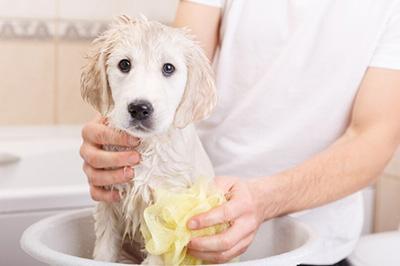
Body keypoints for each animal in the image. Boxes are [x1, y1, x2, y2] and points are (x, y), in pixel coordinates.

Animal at [80, 16, 216, 264]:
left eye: (168, 68)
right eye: (124, 64)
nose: (139, 108)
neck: (146, 146)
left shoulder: (165, 213)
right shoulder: (108, 202)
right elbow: (104, 249)